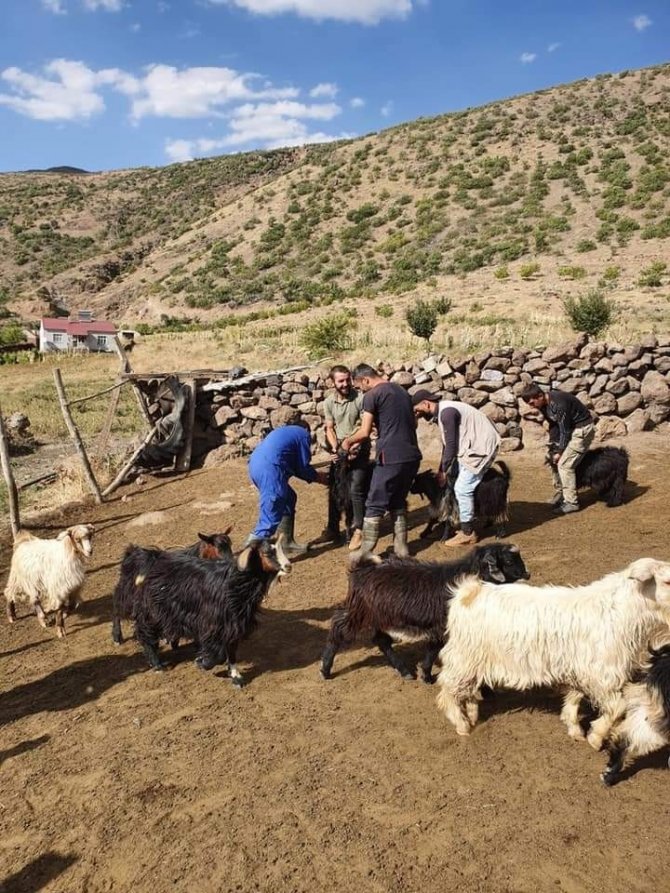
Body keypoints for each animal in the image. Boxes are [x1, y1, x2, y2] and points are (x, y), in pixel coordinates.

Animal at [320, 544, 532, 684]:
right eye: (508, 560)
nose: (527, 574)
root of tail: (362, 568)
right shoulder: (442, 627)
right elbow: (433, 649)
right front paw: (427, 676)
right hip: (360, 613)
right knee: (338, 628)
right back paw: (325, 669)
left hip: (379, 617)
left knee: (382, 641)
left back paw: (405, 671)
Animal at [436, 556, 670, 744]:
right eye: (666, 581)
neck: (620, 612)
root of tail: (468, 592)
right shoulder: (601, 675)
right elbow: (618, 706)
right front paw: (595, 737)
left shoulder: (580, 671)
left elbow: (574, 699)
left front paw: (575, 729)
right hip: (463, 657)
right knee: (447, 690)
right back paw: (462, 724)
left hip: (473, 661)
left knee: (467, 690)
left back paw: (472, 716)